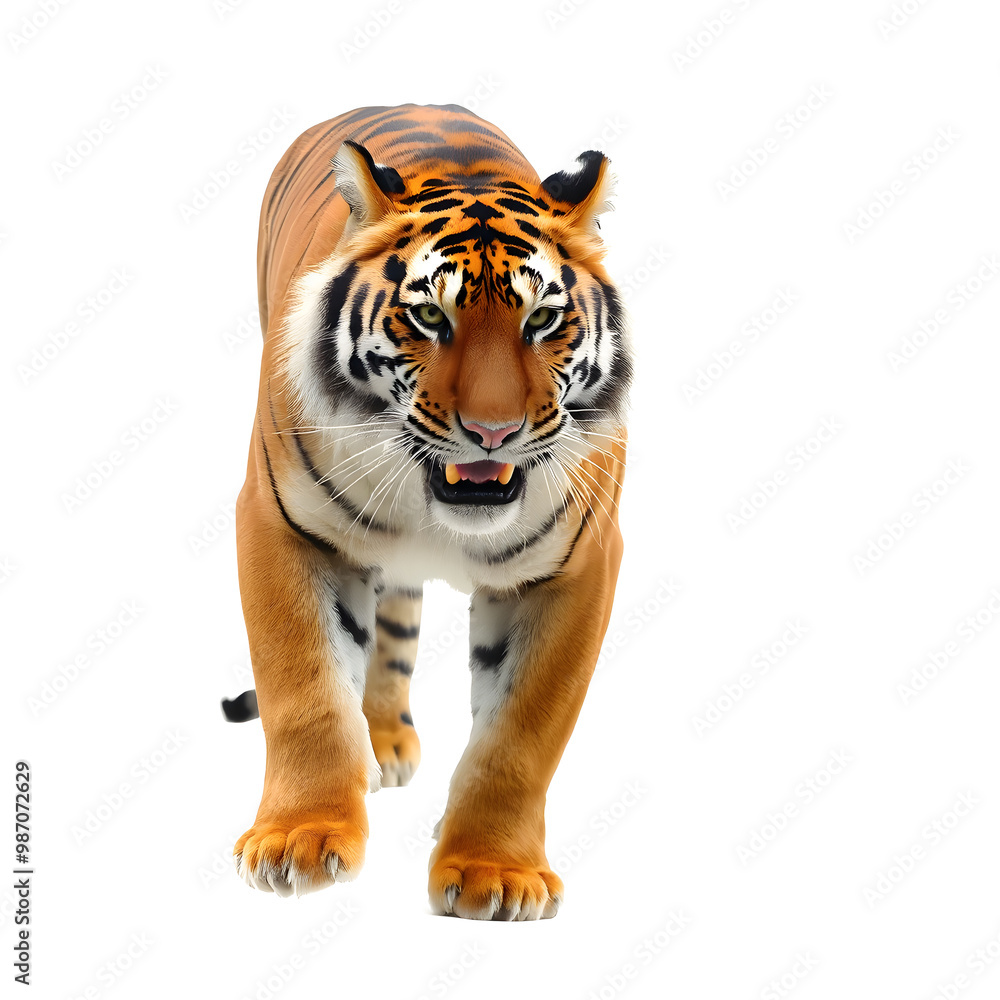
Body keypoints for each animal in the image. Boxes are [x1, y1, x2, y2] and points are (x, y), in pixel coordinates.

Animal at [226, 103, 632, 920]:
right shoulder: (281, 526)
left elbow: (520, 734)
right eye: (427, 318)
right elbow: (305, 692)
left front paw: (493, 872)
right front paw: (298, 841)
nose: (493, 431)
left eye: (544, 320)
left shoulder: (576, 567)